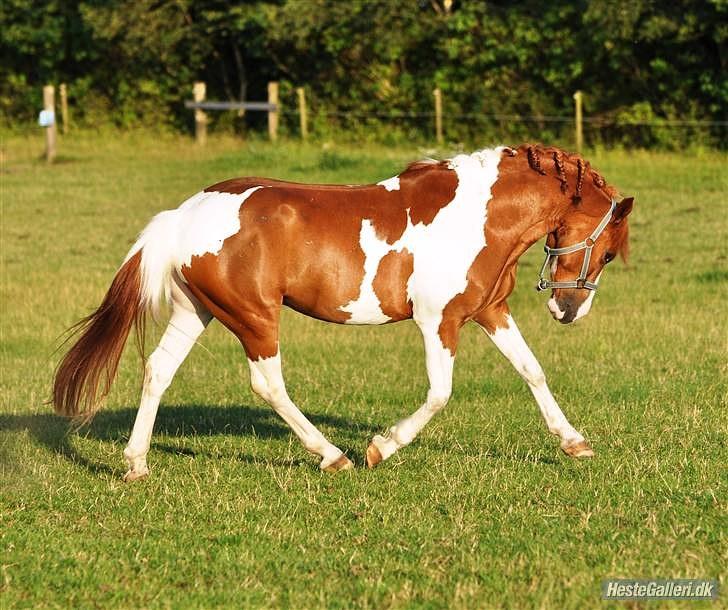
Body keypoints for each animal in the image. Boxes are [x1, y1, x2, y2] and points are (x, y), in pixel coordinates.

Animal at [52, 145, 632, 478]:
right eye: (607, 253)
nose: (567, 308)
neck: (479, 216)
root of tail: (182, 216)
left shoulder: (489, 310)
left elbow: (532, 371)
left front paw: (575, 444)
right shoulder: (438, 321)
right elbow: (440, 394)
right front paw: (380, 448)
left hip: (197, 311)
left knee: (158, 371)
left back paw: (136, 465)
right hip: (255, 318)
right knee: (268, 385)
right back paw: (334, 456)